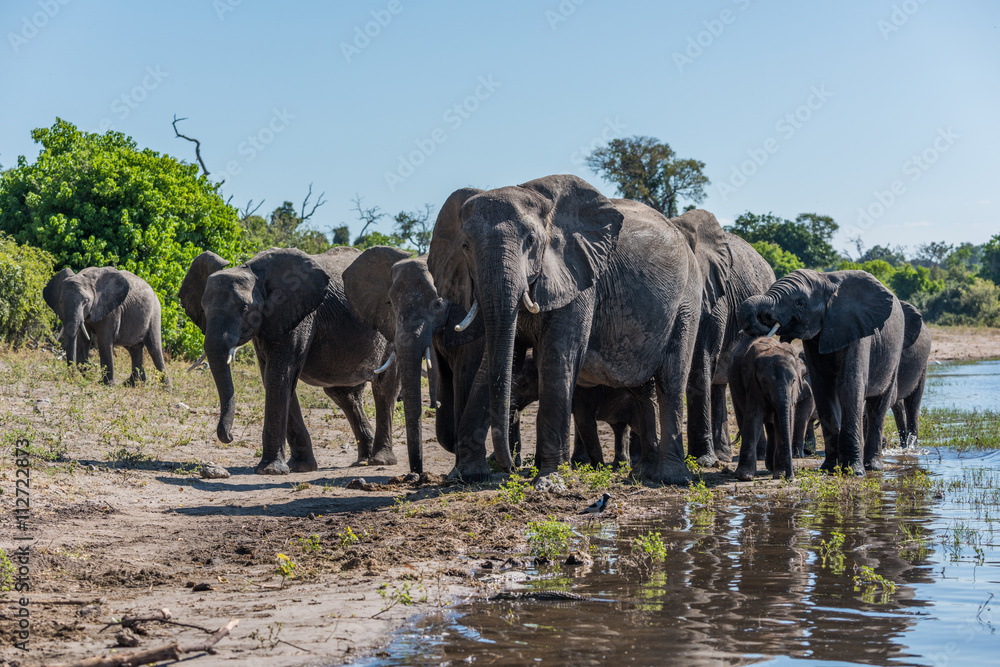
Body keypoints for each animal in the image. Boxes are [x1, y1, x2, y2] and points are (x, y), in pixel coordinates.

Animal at [179, 247, 400, 475]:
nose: (230, 437)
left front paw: (270, 470)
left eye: (244, 309)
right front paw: (301, 467)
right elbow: (273, 378)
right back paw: (363, 459)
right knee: (344, 396)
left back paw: (380, 460)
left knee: (384, 388)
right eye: (203, 308)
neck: (256, 273)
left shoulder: (300, 316)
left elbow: (279, 376)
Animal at [443, 174, 704, 485]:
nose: (511, 469)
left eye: (531, 241)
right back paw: (644, 473)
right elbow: (492, 365)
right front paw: (463, 476)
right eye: (465, 246)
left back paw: (670, 478)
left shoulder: (580, 278)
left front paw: (549, 481)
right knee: (642, 389)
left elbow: (558, 358)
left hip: (688, 300)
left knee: (672, 379)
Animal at [729, 335, 815, 480]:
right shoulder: (752, 383)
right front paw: (744, 477)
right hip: (734, 387)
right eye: (765, 381)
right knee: (743, 416)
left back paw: (771, 467)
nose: (790, 477)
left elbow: (784, 421)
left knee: (773, 426)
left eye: (793, 381)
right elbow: (753, 418)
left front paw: (780, 475)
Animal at [739, 269, 910, 475]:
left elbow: (850, 384)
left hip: (895, 351)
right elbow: (822, 387)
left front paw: (854, 471)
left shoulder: (856, 328)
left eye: (800, 303)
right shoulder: (815, 338)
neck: (826, 280)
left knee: (877, 408)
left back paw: (872, 466)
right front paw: (830, 468)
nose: (766, 323)